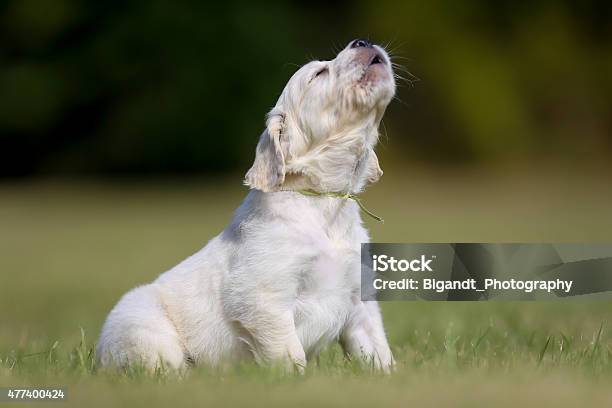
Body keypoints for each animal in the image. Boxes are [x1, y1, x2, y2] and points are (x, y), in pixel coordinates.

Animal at [97, 38, 396, 372]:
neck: (323, 202)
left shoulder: (360, 301)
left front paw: (389, 374)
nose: (362, 42)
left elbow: (377, 349)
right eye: (318, 74)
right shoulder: (265, 299)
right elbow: (289, 354)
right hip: (143, 330)